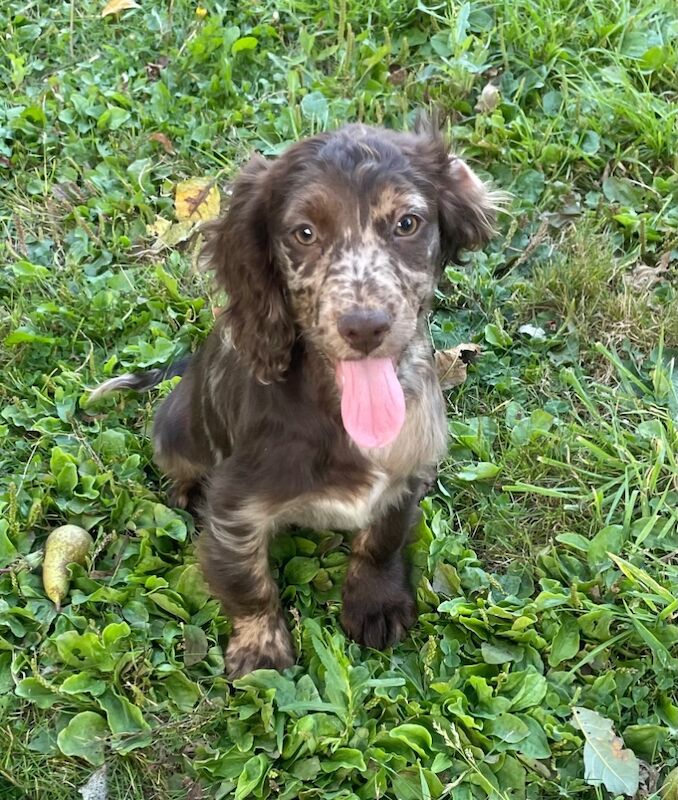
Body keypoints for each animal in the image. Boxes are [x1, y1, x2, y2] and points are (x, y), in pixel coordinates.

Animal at [91, 122, 500, 680]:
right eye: (304, 233)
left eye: (407, 224)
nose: (365, 327)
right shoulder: (235, 510)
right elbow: (247, 583)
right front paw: (260, 649)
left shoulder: (406, 471)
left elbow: (383, 539)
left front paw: (375, 602)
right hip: (173, 427)